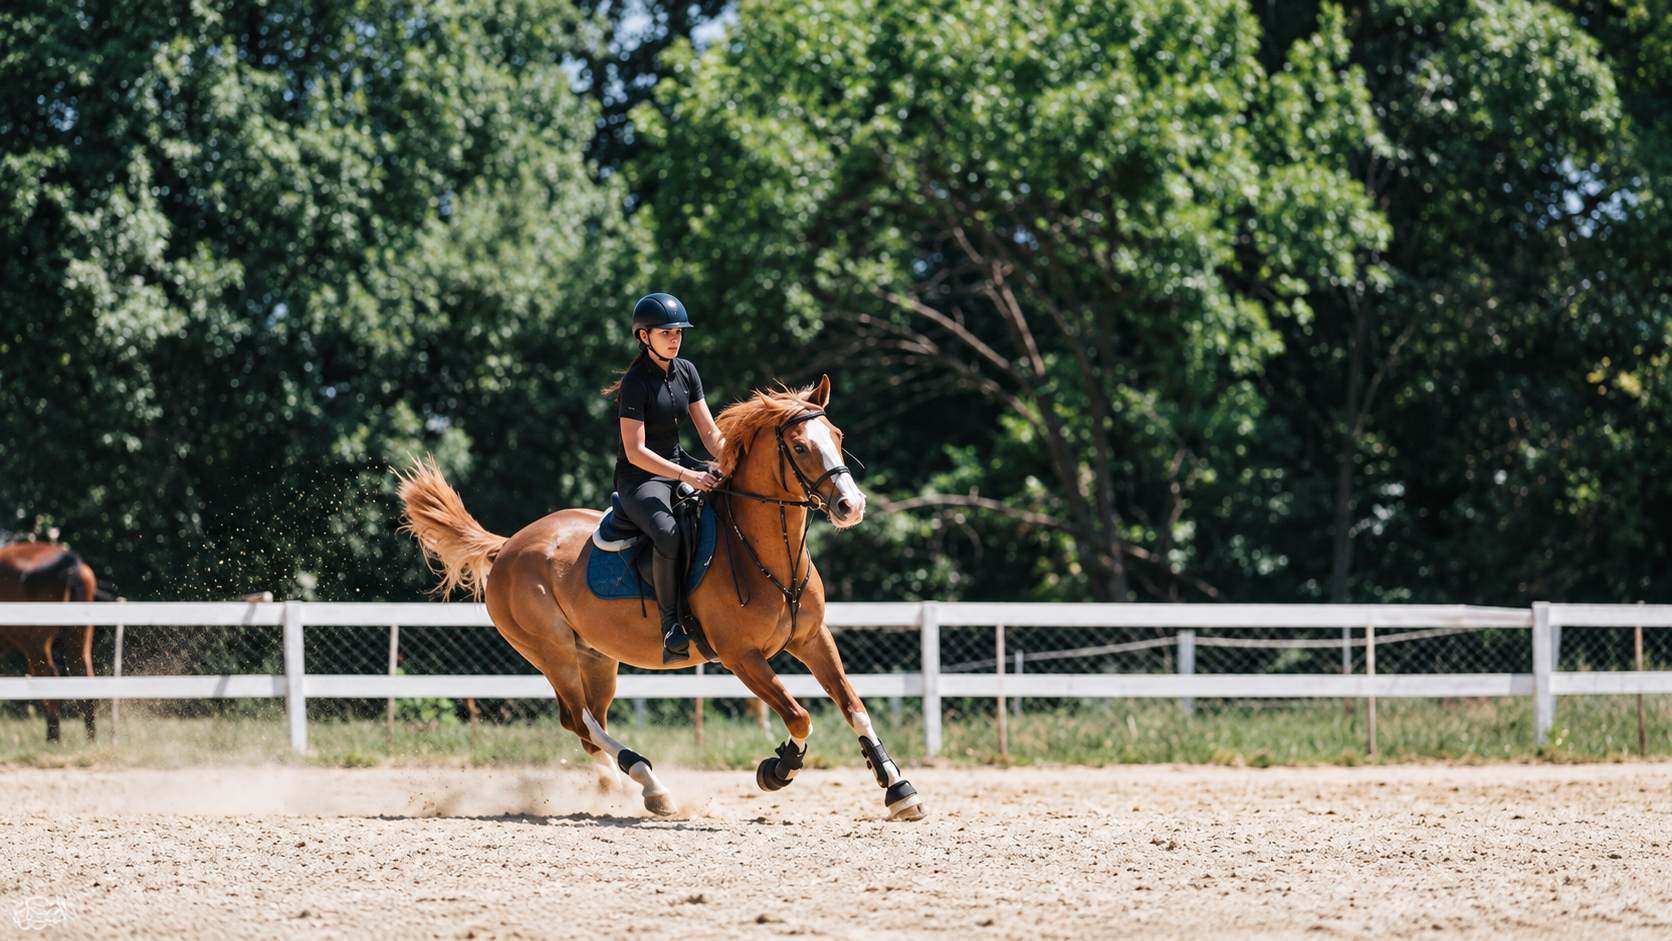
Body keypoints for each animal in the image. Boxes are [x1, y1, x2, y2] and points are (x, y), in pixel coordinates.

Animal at [0, 542, 98, 742]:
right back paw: (91, 739)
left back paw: (53, 738)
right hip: (78, 639)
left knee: (49, 676)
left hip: (34, 643)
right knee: (84, 677)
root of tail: (69, 562)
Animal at [399, 376, 926, 820]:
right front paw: (777, 770)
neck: (764, 552)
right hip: (552, 652)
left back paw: (620, 786)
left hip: (597, 659)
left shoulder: (813, 639)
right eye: (799, 446)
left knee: (585, 725)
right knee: (580, 719)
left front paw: (898, 789)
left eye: (836, 435)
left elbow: (853, 706)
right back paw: (652, 784)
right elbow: (799, 717)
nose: (851, 506)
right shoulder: (742, 656)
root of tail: (509, 544)